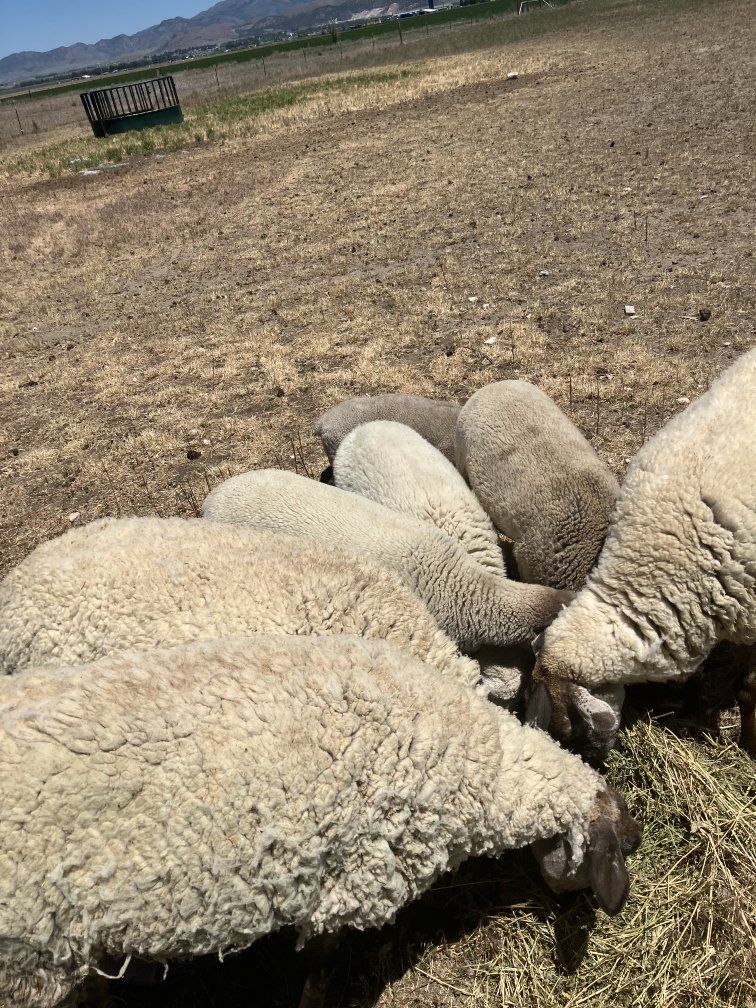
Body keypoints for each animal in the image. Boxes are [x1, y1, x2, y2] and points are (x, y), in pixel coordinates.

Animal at [0, 633, 642, 1008]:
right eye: (625, 848)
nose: (640, 834)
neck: (474, 760)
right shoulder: (349, 888)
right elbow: (321, 967)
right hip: (27, 960)